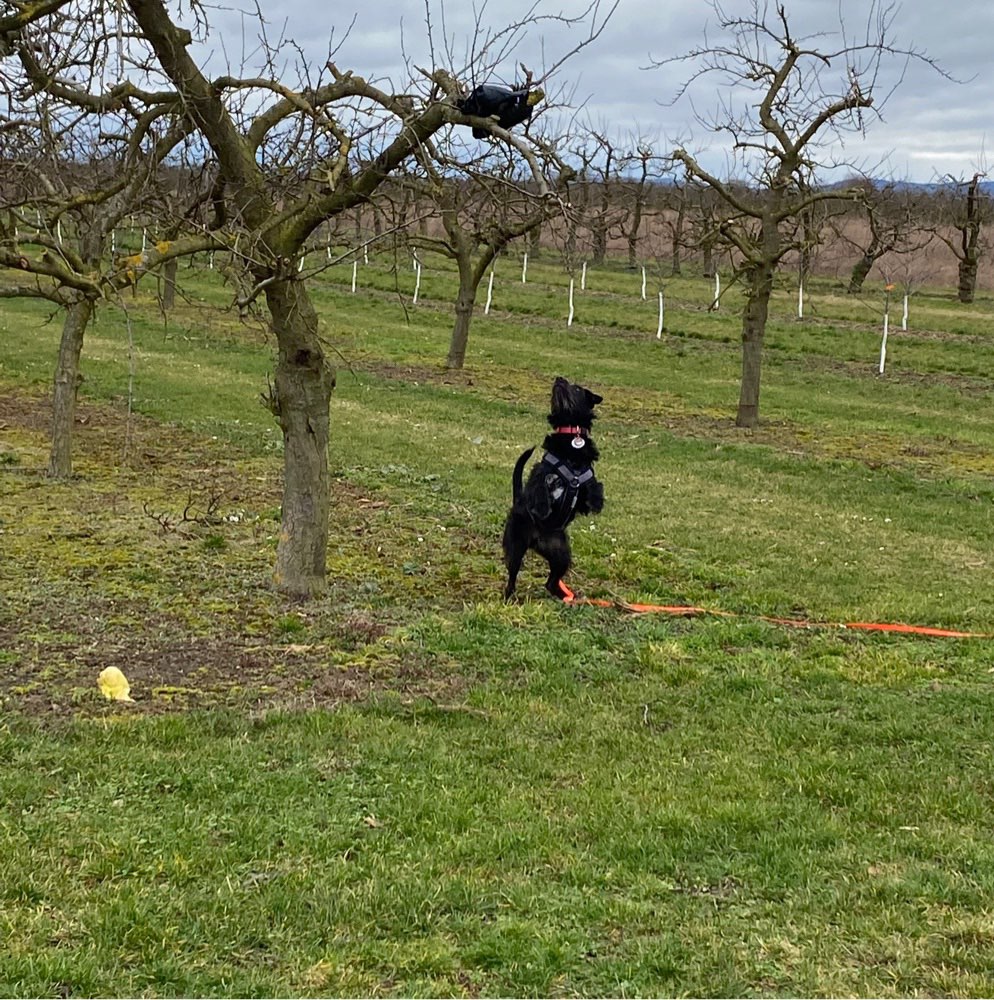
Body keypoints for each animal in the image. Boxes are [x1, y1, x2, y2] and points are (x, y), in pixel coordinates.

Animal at [500, 376, 600, 600]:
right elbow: (540, 490)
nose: (559, 378)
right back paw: (510, 596)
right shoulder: (541, 473)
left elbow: (594, 486)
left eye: (576, 388)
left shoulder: (586, 478)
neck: (571, 440)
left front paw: (597, 502)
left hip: (561, 555)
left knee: (551, 582)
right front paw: (543, 508)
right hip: (516, 546)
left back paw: (565, 597)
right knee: (512, 575)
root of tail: (537, 541)